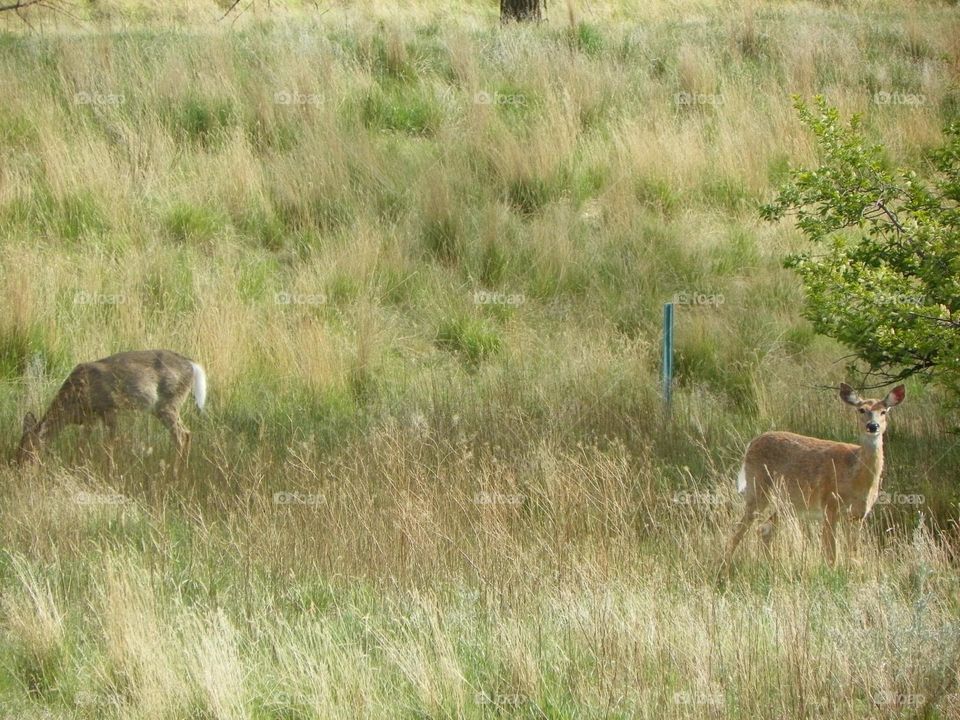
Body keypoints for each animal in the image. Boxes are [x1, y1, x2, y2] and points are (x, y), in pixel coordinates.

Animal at [16, 349, 207, 476]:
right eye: (19, 447)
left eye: (30, 449)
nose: (20, 468)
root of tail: (193, 365)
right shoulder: (90, 418)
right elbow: (82, 443)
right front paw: (77, 467)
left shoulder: (109, 408)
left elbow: (108, 445)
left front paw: (110, 472)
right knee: (187, 433)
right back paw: (182, 471)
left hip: (168, 404)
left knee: (181, 435)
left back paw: (174, 473)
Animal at [723, 382, 905, 568]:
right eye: (861, 410)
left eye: (884, 411)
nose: (872, 426)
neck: (854, 476)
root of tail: (751, 444)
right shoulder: (829, 505)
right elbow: (831, 555)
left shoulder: (858, 515)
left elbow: (853, 554)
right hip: (758, 487)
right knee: (739, 530)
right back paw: (724, 566)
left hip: (789, 502)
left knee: (764, 528)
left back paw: (770, 565)